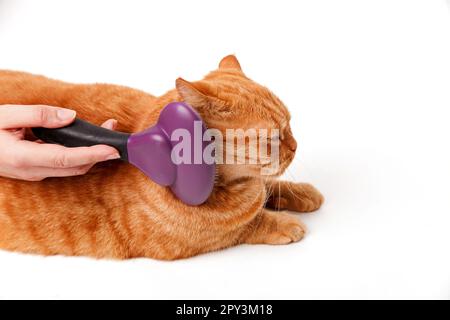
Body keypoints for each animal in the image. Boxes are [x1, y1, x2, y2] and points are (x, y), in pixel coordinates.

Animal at [0, 55, 324, 260]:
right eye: (274, 137)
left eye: (290, 124)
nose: (296, 146)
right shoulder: (189, 241)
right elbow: (247, 226)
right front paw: (284, 224)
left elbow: (271, 186)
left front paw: (303, 193)